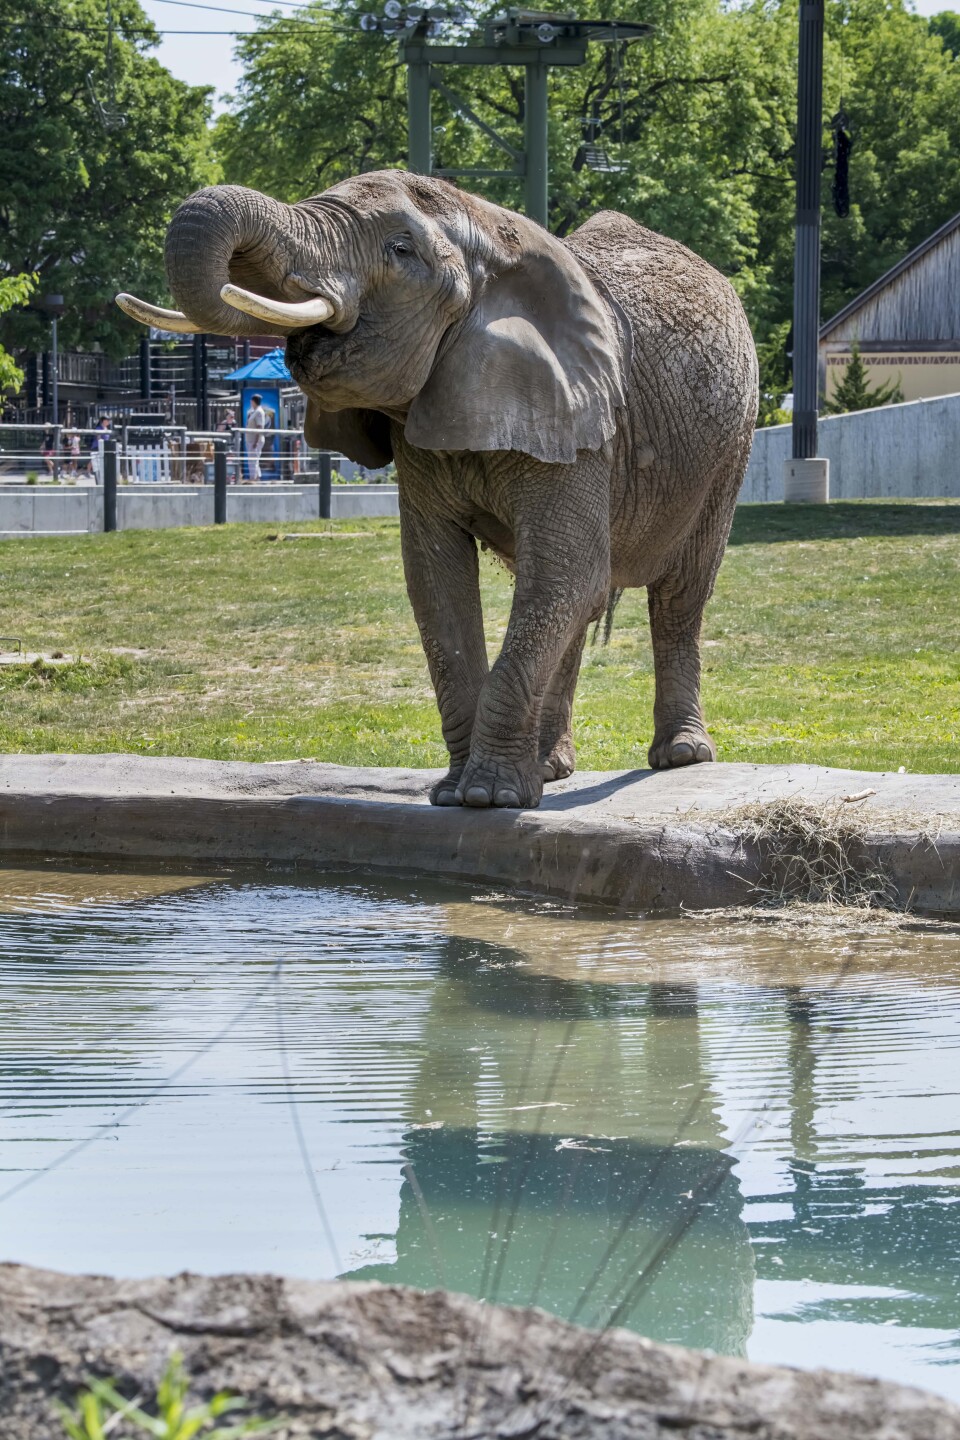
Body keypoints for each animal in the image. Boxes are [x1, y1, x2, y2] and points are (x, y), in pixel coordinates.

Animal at [117, 171, 758, 809]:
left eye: (400, 250)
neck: (489, 231)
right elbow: (437, 582)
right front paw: (454, 794)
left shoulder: (580, 425)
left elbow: (564, 575)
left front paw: (489, 797)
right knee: (581, 603)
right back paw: (550, 767)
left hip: (730, 448)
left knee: (675, 595)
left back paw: (680, 756)